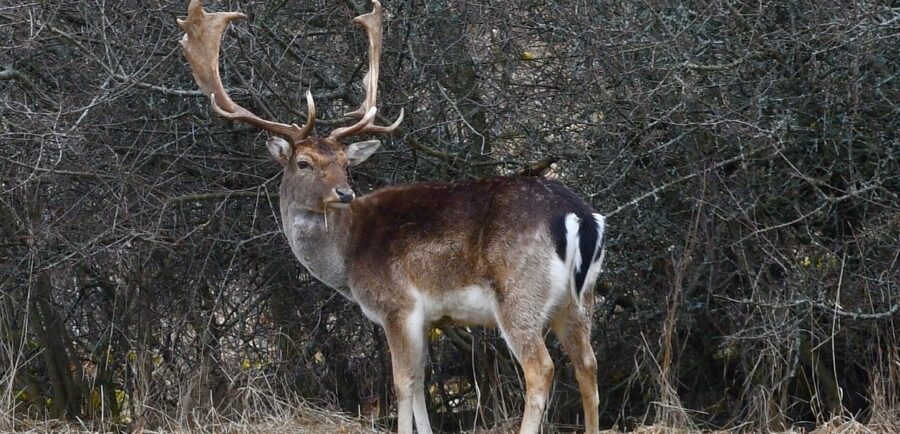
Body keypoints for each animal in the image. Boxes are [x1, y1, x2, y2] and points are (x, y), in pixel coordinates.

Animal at [177, 1, 608, 432]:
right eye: (304, 163)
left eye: (343, 163)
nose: (344, 193)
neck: (348, 261)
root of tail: (581, 218)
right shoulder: (428, 318)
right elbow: (419, 384)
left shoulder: (397, 305)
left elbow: (404, 382)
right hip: (578, 299)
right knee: (588, 364)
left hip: (518, 293)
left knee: (542, 368)